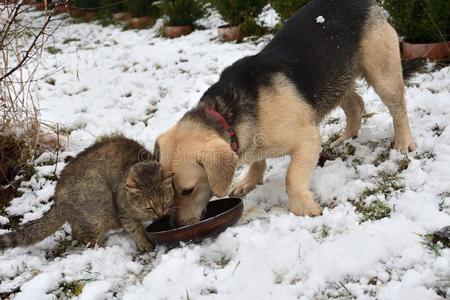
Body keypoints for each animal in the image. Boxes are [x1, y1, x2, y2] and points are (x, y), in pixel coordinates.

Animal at [156, 0, 420, 225]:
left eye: (187, 190)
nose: (177, 225)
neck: (225, 113)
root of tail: (365, 3)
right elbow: (258, 162)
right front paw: (250, 180)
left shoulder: (308, 141)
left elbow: (292, 177)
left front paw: (303, 208)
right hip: (335, 77)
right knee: (356, 103)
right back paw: (346, 137)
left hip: (381, 71)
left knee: (398, 109)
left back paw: (403, 142)